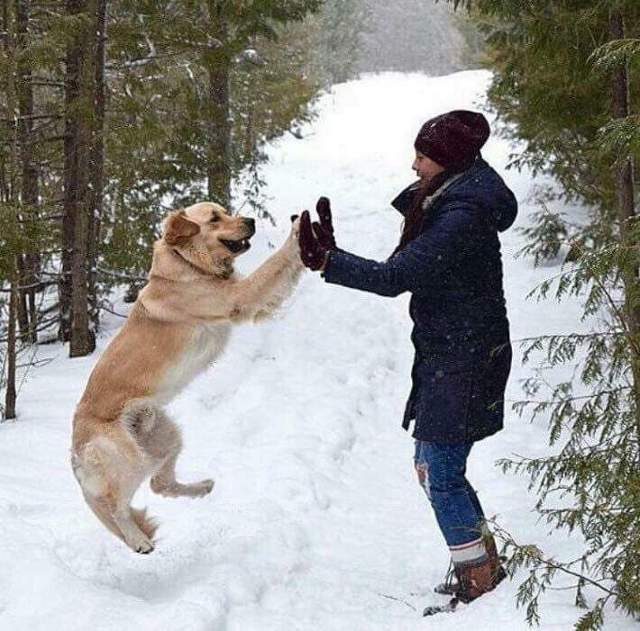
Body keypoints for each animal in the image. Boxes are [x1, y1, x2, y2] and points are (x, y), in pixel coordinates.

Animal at [71, 202, 304, 552]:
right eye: (215, 219)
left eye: (226, 211)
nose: (250, 221)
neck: (190, 265)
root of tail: (74, 447)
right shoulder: (240, 298)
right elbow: (275, 263)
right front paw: (300, 231)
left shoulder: (252, 302)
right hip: (130, 460)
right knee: (117, 504)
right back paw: (138, 540)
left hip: (164, 439)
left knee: (160, 484)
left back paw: (201, 487)